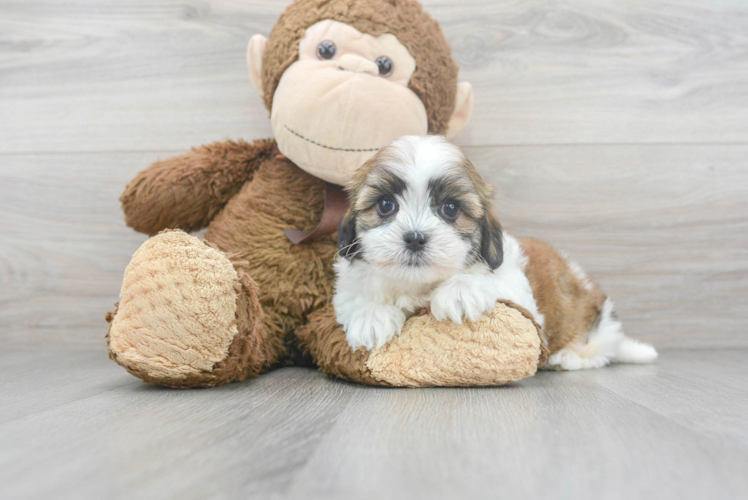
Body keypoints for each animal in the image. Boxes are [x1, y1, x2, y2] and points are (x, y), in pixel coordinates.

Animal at [334, 135, 656, 370]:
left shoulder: (518, 291)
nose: (414, 238)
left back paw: (568, 357)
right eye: (385, 205)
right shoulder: (347, 283)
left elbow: (493, 283)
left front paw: (460, 291)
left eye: (450, 209)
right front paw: (372, 317)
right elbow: (353, 298)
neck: (418, 287)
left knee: (599, 352)